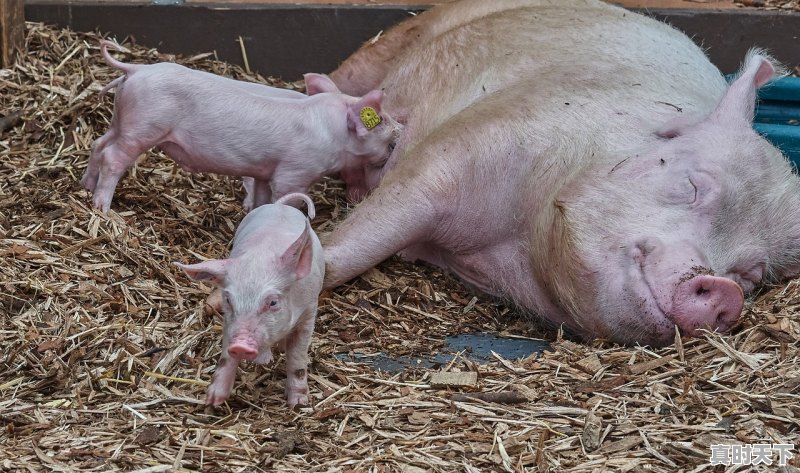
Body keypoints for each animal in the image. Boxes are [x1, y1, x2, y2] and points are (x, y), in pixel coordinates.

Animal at [81, 42, 400, 212]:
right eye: (382, 121)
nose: (400, 130)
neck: (331, 134)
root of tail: (137, 69)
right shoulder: (295, 171)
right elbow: (285, 196)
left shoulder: (264, 170)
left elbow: (261, 197)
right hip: (143, 127)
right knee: (113, 157)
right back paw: (103, 207)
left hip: (122, 120)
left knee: (98, 144)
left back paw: (84, 187)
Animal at [177, 192, 324, 406]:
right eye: (228, 300)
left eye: (273, 302)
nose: (240, 345)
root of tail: (279, 205)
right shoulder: (229, 322)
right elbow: (225, 357)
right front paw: (212, 401)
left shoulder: (309, 312)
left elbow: (297, 358)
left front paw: (298, 404)